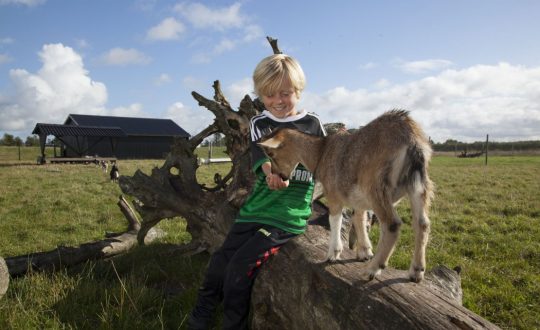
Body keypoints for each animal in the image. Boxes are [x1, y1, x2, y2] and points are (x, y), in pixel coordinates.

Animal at [258, 110, 434, 282]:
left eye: (271, 153)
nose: (279, 176)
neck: (321, 153)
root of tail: (411, 139)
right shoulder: (358, 199)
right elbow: (359, 218)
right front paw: (364, 252)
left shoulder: (334, 193)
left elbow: (335, 219)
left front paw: (333, 254)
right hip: (418, 185)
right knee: (422, 223)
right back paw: (416, 271)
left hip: (376, 186)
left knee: (392, 224)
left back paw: (372, 270)